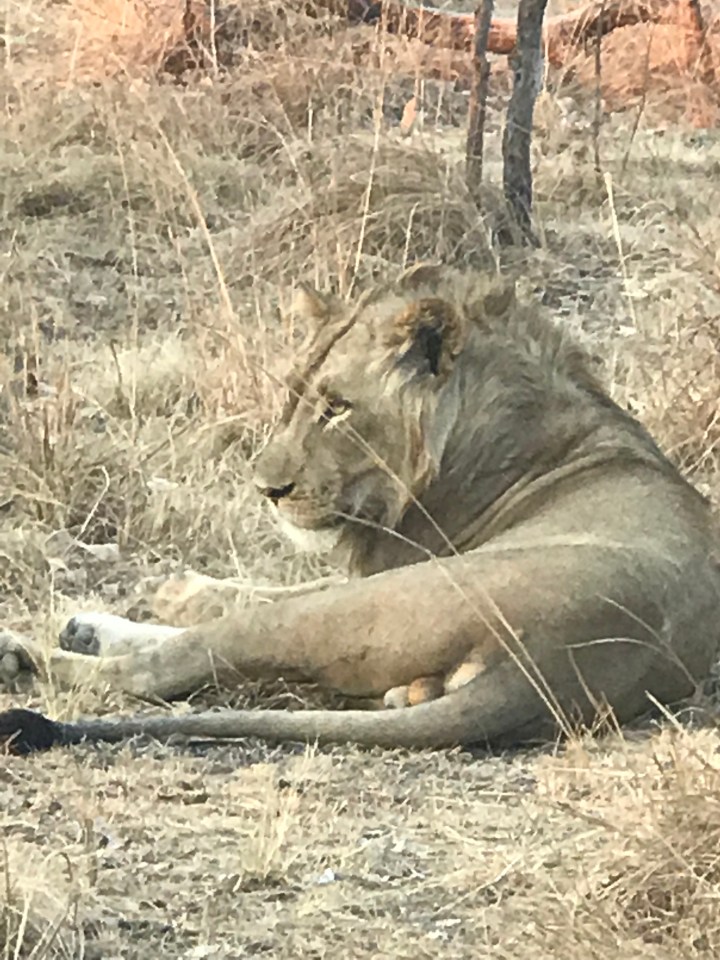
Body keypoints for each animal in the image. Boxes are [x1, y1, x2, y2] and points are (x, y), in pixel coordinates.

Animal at [2, 264, 720, 755]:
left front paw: (165, 597)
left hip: (372, 602)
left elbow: (247, 597)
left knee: (160, 670)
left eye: (338, 408)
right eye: (294, 397)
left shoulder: (385, 567)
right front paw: (132, 606)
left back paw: (19, 656)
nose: (267, 489)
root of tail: (560, 661)